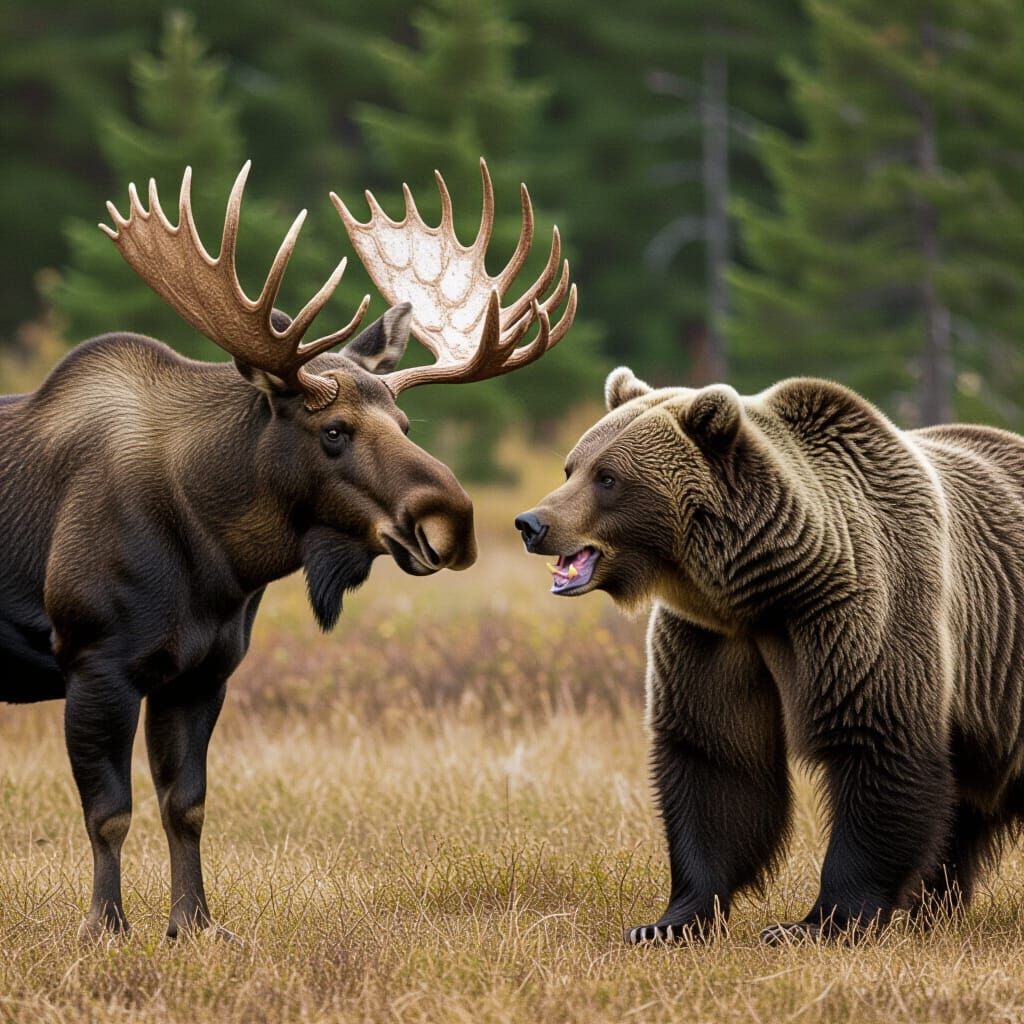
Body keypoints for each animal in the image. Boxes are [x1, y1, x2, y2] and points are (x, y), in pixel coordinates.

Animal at [0, 159, 576, 940]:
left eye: (404, 422)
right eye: (333, 429)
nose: (452, 523)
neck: (217, 562)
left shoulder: (202, 673)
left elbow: (186, 806)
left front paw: (195, 925)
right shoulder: (96, 660)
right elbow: (109, 813)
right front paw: (105, 929)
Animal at [515, 366, 1024, 944]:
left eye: (608, 477)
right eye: (571, 466)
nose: (532, 523)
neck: (768, 592)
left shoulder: (862, 615)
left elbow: (876, 743)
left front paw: (818, 923)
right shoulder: (712, 640)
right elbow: (717, 761)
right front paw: (669, 922)